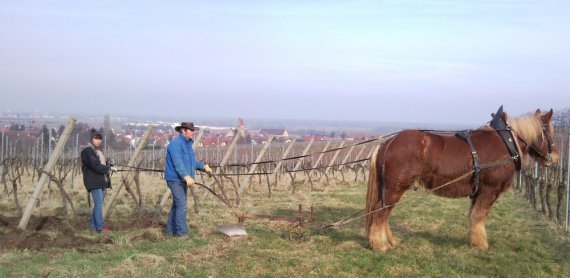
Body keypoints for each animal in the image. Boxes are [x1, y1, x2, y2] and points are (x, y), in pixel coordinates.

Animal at [364, 106, 556, 250]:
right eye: (549, 131)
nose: (554, 158)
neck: (506, 142)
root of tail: (387, 143)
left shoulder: (478, 192)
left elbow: (474, 216)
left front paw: (473, 241)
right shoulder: (489, 190)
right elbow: (480, 215)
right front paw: (481, 244)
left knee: (383, 213)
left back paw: (388, 241)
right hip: (394, 188)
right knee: (381, 212)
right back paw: (380, 244)